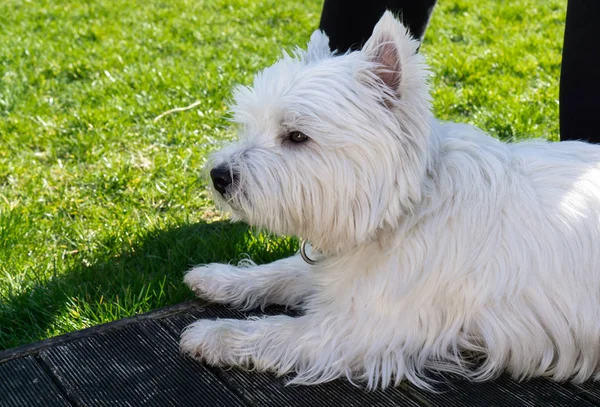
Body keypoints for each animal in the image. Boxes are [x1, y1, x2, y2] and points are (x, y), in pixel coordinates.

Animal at [180, 11, 600, 390]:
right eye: (250, 124)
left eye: (296, 136)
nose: (219, 176)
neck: (405, 210)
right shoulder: (342, 270)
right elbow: (285, 270)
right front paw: (219, 278)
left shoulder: (355, 331)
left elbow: (275, 332)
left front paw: (210, 335)